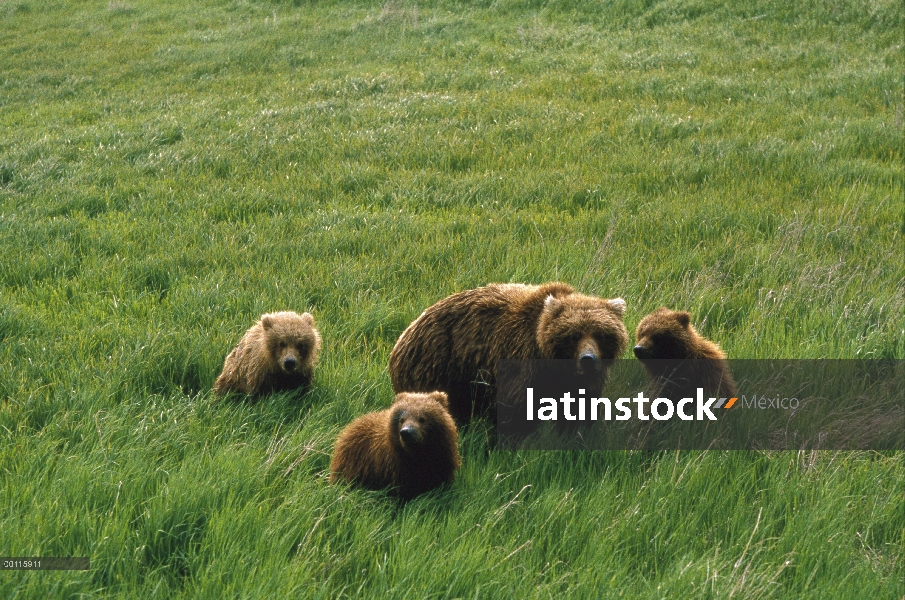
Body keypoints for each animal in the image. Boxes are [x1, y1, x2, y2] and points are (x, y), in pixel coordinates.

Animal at [388, 284, 628, 424]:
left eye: (601, 334)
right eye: (573, 335)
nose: (588, 360)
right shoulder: (520, 363)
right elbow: (516, 410)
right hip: (437, 368)